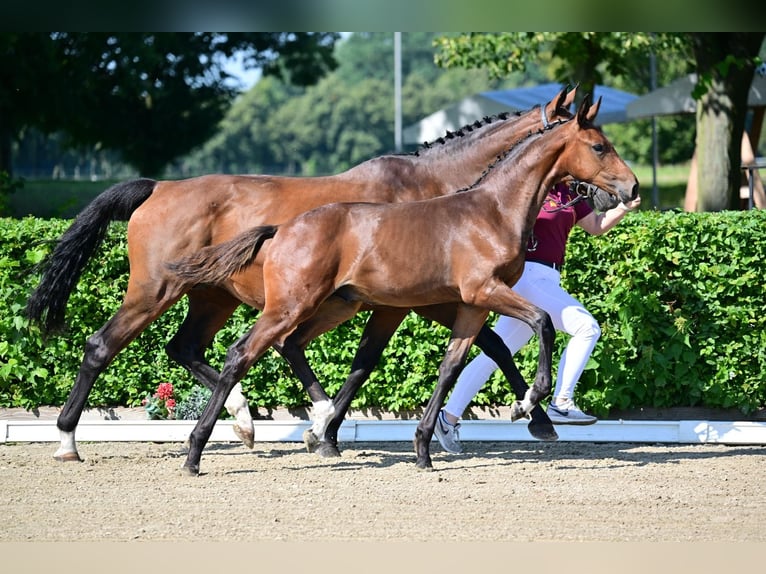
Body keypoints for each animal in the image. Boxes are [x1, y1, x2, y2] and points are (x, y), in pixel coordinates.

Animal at [22, 85, 584, 466]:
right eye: (590, 144)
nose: (600, 199)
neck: (438, 192)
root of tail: (157, 187)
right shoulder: (413, 301)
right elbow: (482, 344)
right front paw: (535, 414)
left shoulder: (403, 300)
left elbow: (381, 360)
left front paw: (328, 433)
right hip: (154, 291)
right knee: (102, 345)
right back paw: (68, 441)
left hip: (213, 297)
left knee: (186, 347)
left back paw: (243, 423)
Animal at [170, 95, 640, 476]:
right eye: (599, 146)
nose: (631, 188)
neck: (492, 209)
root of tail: (281, 228)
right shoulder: (482, 292)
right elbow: (541, 322)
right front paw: (528, 405)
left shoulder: (470, 305)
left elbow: (453, 365)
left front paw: (423, 449)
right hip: (290, 305)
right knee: (239, 354)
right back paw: (199, 451)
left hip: (328, 305)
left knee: (274, 347)